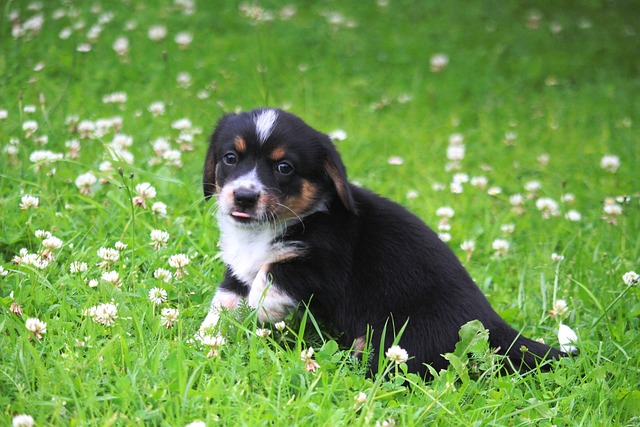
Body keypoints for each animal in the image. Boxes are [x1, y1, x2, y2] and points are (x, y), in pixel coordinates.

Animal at [201, 108, 564, 378]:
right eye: (230, 157)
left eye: (284, 167)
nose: (244, 197)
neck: (266, 230)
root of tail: (493, 325)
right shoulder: (237, 269)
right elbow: (223, 303)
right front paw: (203, 338)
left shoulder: (322, 264)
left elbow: (273, 273)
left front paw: (264, 308)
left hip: (395, 339)